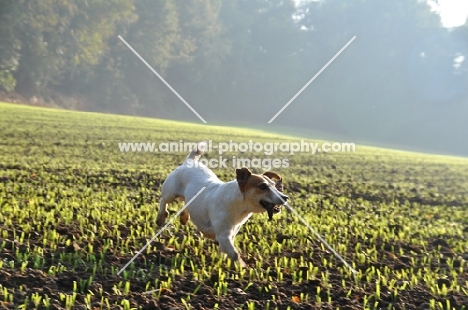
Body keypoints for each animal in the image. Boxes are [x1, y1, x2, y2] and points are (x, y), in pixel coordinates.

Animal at [157, 143, 288, 266]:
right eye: (263, 186)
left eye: (274, 185)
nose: (285, 197)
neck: (239, 207)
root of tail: (190, 161)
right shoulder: (224, 235)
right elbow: (234, 253)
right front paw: (242, 266)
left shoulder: (231, 234)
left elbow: (224, 251)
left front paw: (220, 262)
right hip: (170, 193)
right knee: (163, 201)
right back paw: (161, 217)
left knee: (186, 204)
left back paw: (184, 217)